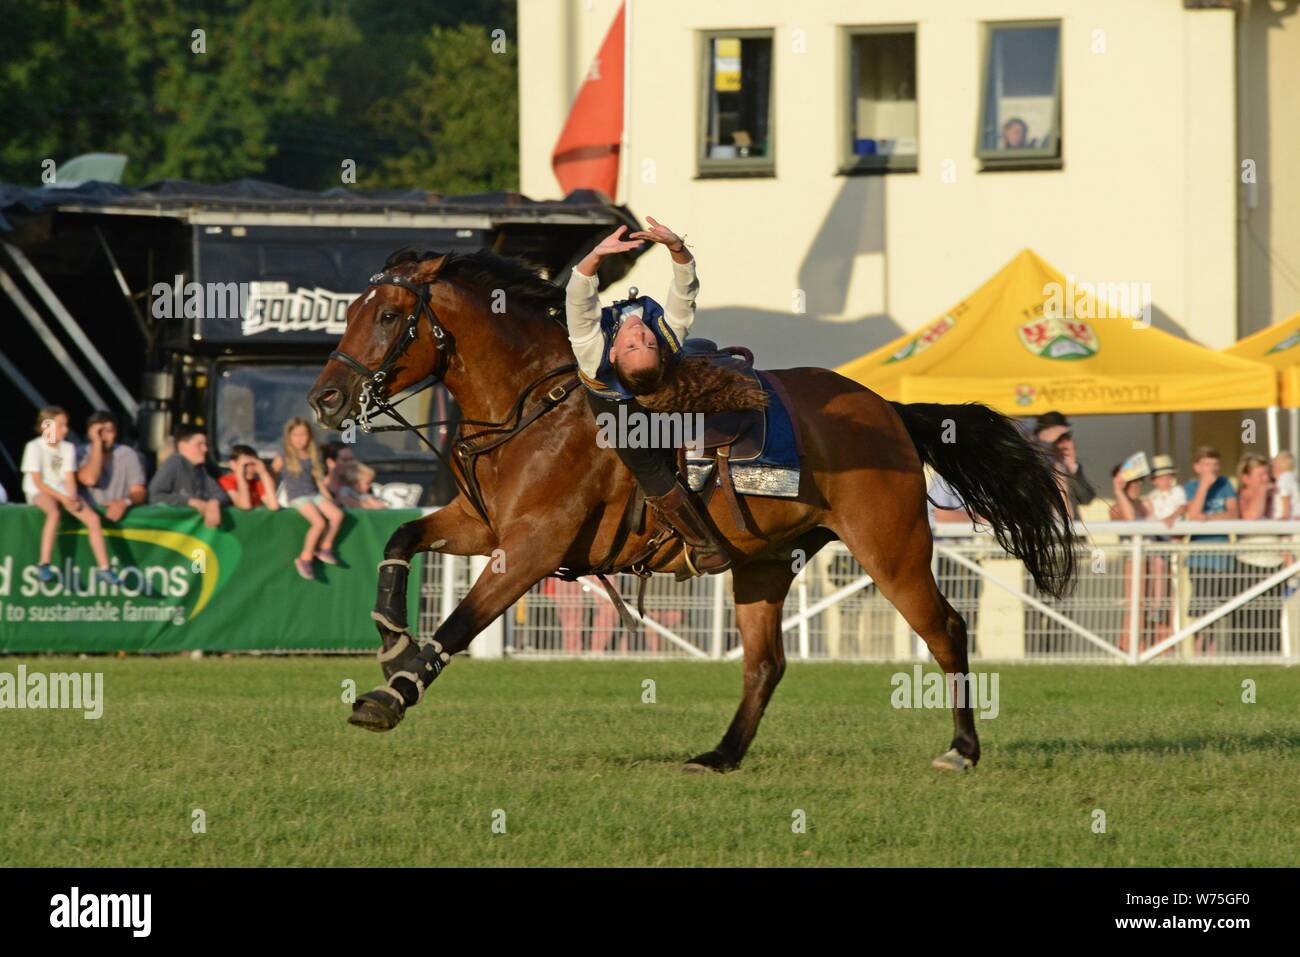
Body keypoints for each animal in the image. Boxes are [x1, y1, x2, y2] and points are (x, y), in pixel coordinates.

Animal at [308, 248, 1076, 772]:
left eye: (387, 315)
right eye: (348, 312)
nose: (325, 400)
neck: (536, 406)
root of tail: (888, 408)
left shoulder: (530, 550)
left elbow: (460, 623)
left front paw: (391, 695)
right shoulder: (483, 527)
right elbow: (400, 541)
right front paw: (392, 644)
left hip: (893, 551)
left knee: (947, 631)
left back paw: (962, 748)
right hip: (764, 567)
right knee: (765, 665)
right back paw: (721, 754)